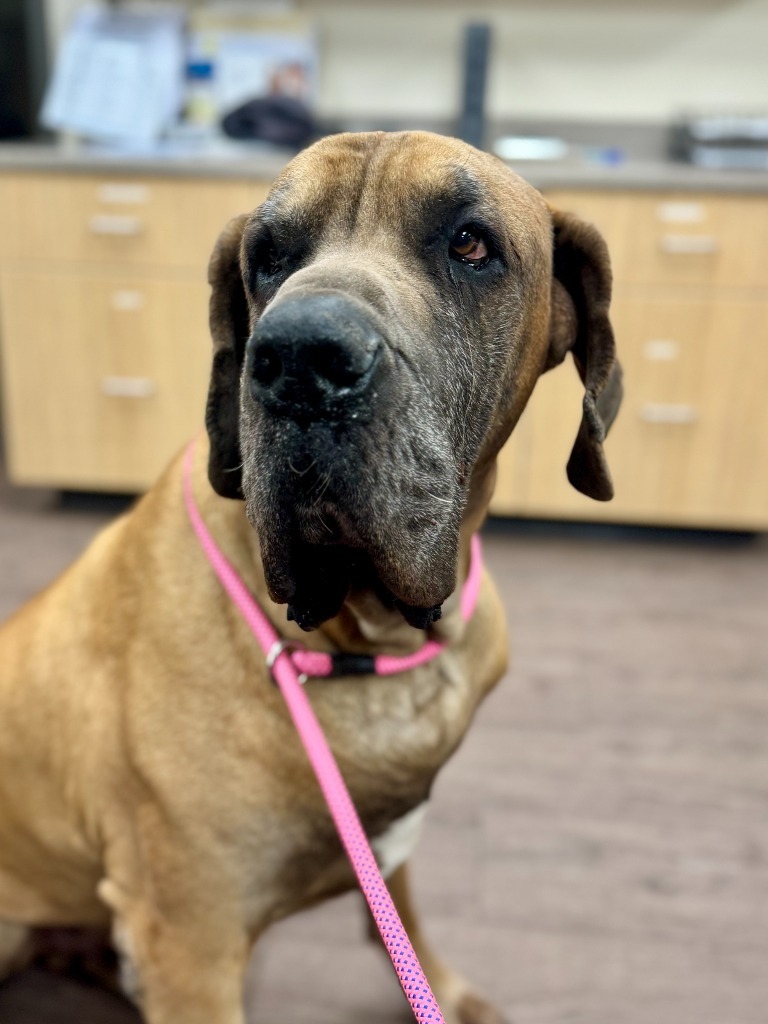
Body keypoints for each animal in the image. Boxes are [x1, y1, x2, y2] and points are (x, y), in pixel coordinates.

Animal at [0, 132, 622, 1019]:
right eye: (267, 258)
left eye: (470, 244)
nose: (299, 358)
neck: (371, 633)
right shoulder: (192, 945)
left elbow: (401, 914)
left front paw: (441, 989)